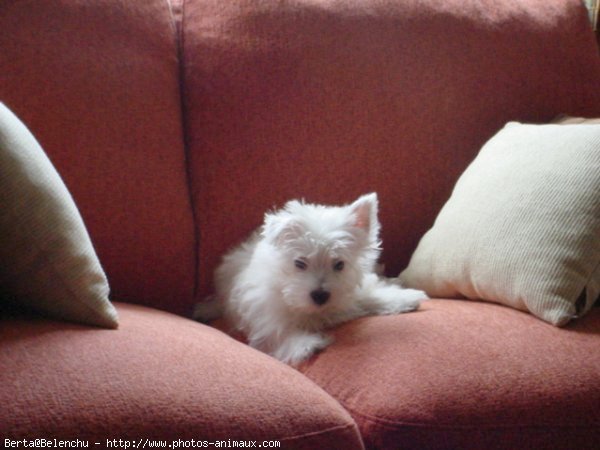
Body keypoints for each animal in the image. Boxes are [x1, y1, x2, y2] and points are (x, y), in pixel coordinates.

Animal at [193, 192, 426, 364]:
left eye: (339, 264)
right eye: (300, 263)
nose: (320, 295)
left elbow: (372, 295)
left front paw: (407, 297)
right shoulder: (265, 313)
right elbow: (280, 331)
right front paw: (306, 344)